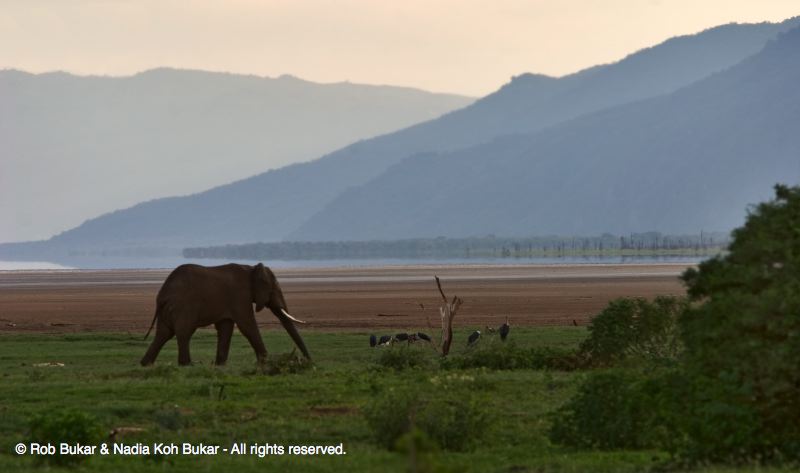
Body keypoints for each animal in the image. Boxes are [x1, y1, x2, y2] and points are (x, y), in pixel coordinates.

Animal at [141, 262, 310, 366]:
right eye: (274, 290)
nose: (309, 361)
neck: (251, 269)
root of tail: (162, 296)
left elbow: (226, 328)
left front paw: (219, 365)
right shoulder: (240, 296)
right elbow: (247, 325)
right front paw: (265, 363)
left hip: (168, 310)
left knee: (163, 334)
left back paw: (145, 364)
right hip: (183, 307)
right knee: (184, 332)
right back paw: (188, 365)